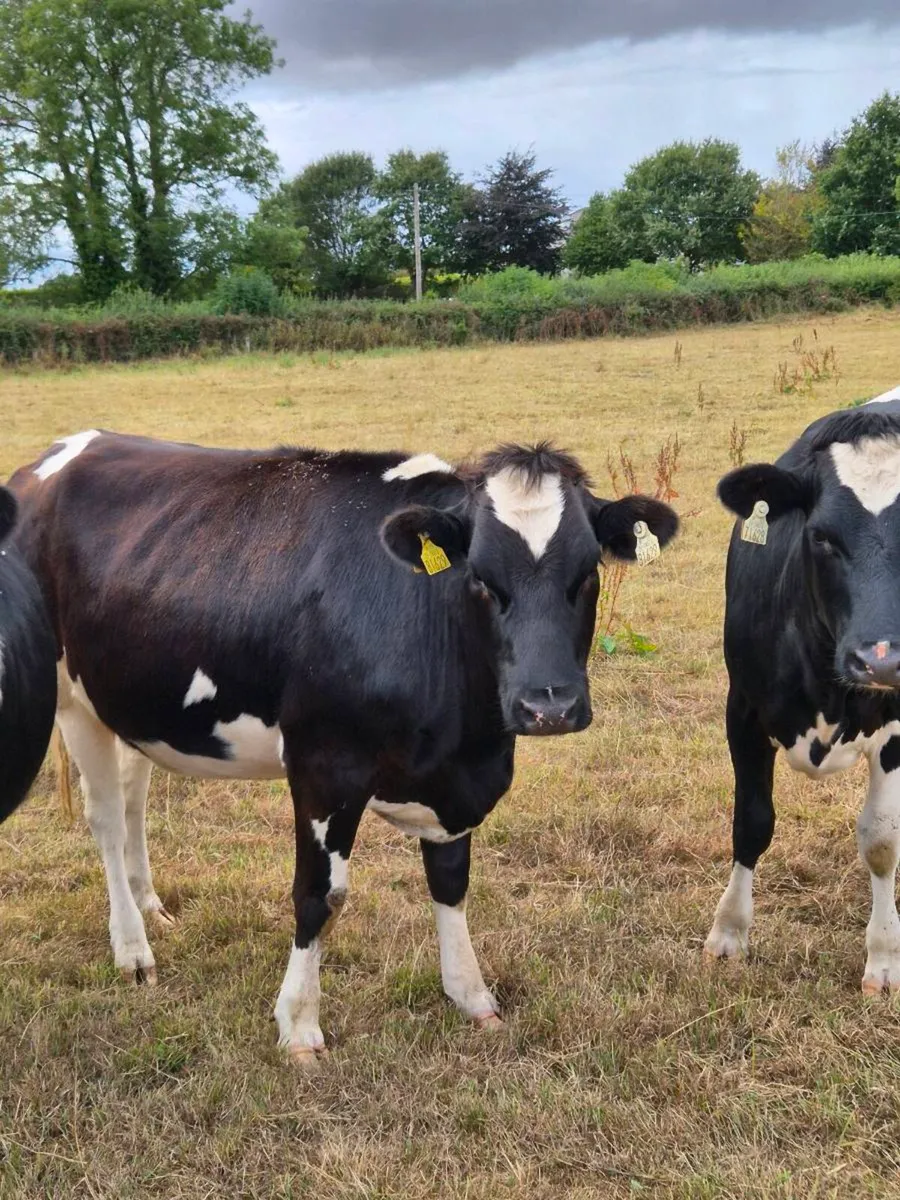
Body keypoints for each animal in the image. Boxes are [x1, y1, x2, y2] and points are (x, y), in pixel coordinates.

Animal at [9, 430, 678, 1064]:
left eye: (587, 573)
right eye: (482, 580)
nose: (549, 707)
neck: (465, 740)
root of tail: (56, 455)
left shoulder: (456, 779)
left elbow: (451, 881)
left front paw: (471, 995)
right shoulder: (324, 768)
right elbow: (318, 895)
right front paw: (299, 1025)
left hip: (132, 699)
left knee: (134, 798)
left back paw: (151, 905)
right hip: (71, 698)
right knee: (105, 820)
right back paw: (133, 949)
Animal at [705, 389, 900, 996]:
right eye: (821, 536)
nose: (881, 658)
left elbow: (881, 841)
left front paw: (884, 956)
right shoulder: (742, 710)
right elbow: (751, 821)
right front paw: (729, 933)